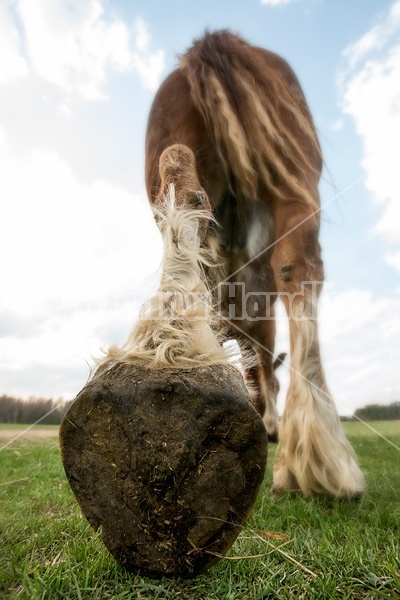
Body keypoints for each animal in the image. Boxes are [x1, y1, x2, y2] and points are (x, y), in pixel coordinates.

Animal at [144, 30, 366, 496]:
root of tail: (213, 42)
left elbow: (255, 370)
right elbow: (262, 372)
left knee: (177, 171)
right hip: (293, 185)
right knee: (300, 272)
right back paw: (319, 455)